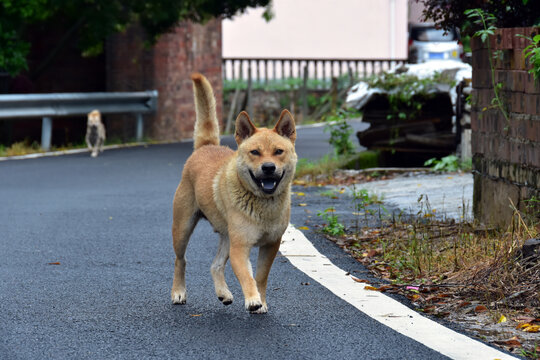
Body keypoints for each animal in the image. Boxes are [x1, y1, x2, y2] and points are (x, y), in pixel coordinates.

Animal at [171, 74, 298, 314]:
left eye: (278, 151)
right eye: (255, 152)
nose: (269, 168)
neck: (263, 204)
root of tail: (206, 146)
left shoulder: (271, 245)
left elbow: (260, 277)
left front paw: (261, 302)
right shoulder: (241, 247)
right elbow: (247, 277)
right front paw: (253, 299)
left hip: (227, 236)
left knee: (216, 265)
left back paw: (223, 293)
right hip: (183, 228)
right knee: (180, 260)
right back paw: (178, 292)